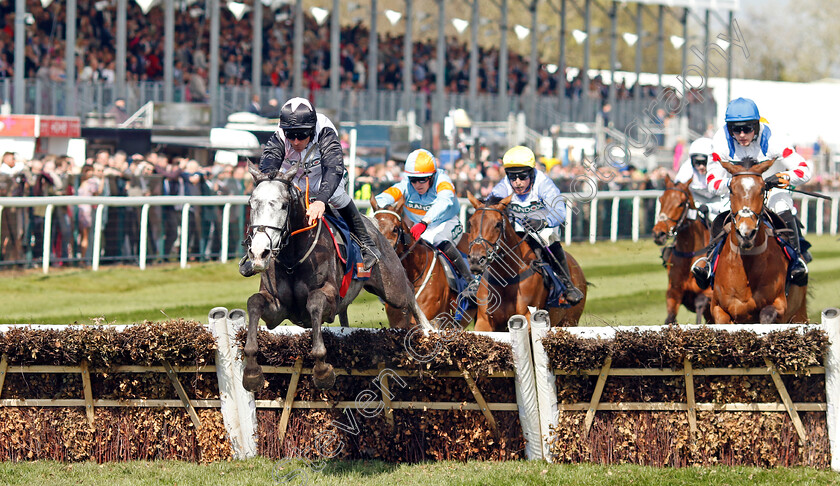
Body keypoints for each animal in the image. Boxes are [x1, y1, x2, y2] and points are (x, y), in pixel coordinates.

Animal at [240, 163, 430, 392]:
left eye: (284, 205)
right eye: (251, 203)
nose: (259, 253)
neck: (292, 259)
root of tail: (373, 224)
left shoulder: (329, 298)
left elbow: (314, 302)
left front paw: (322, 371)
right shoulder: (277, 309)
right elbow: (254, 302)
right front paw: (252, 372)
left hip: (392, 287)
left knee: (409, 295)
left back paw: (430, 332)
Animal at [462, 192, 588, 332]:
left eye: (498, 224)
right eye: (470, 223)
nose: (476, 259)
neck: (506, 278)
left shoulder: (528, 316)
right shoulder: (484, 321)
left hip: (570, 321)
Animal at [652, 177, 712, 324]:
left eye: (680, 203)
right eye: (661, 200)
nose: (658, 233)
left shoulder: (709, 295)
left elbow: (700, 303)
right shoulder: (674, 292)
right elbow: (670, 317)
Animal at [712, 159, 812, 322]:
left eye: (761, 189)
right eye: (731, 190)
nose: (746, 233)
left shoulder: (779, 304)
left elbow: (767, 314)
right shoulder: (718, 309)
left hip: (799, 313)